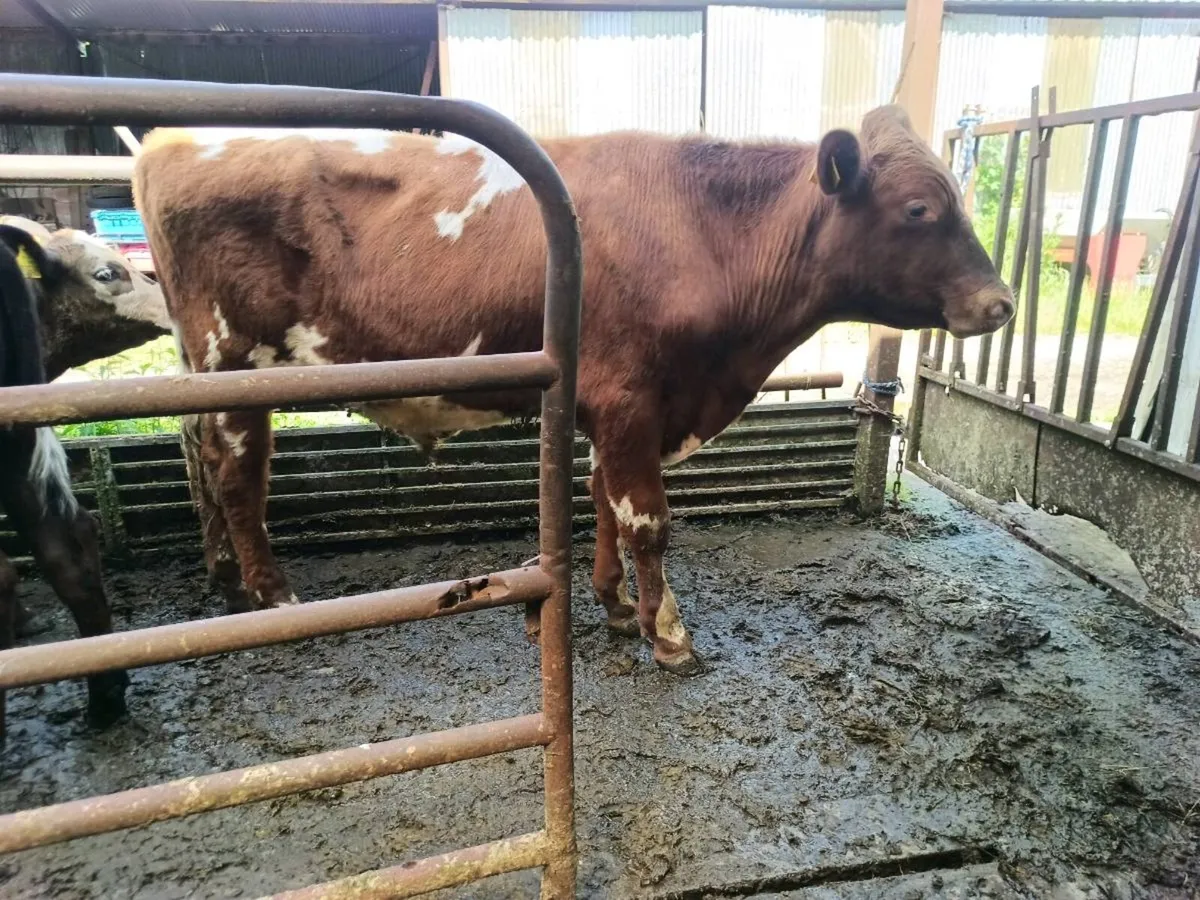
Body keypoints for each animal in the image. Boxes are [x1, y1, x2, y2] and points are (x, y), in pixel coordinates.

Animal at [132, 105, 1014, 677]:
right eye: (919, 209)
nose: (1001, 302)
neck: (703, 230)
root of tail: (176, 138)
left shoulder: (616, 408)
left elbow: (602, 505)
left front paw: (614, 604)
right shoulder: (630, 402)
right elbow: (647, 521)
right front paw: (669, 634)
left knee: (198, 457)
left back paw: (222, 575)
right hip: (236, 360)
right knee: (237, 476)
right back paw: (273, 595)